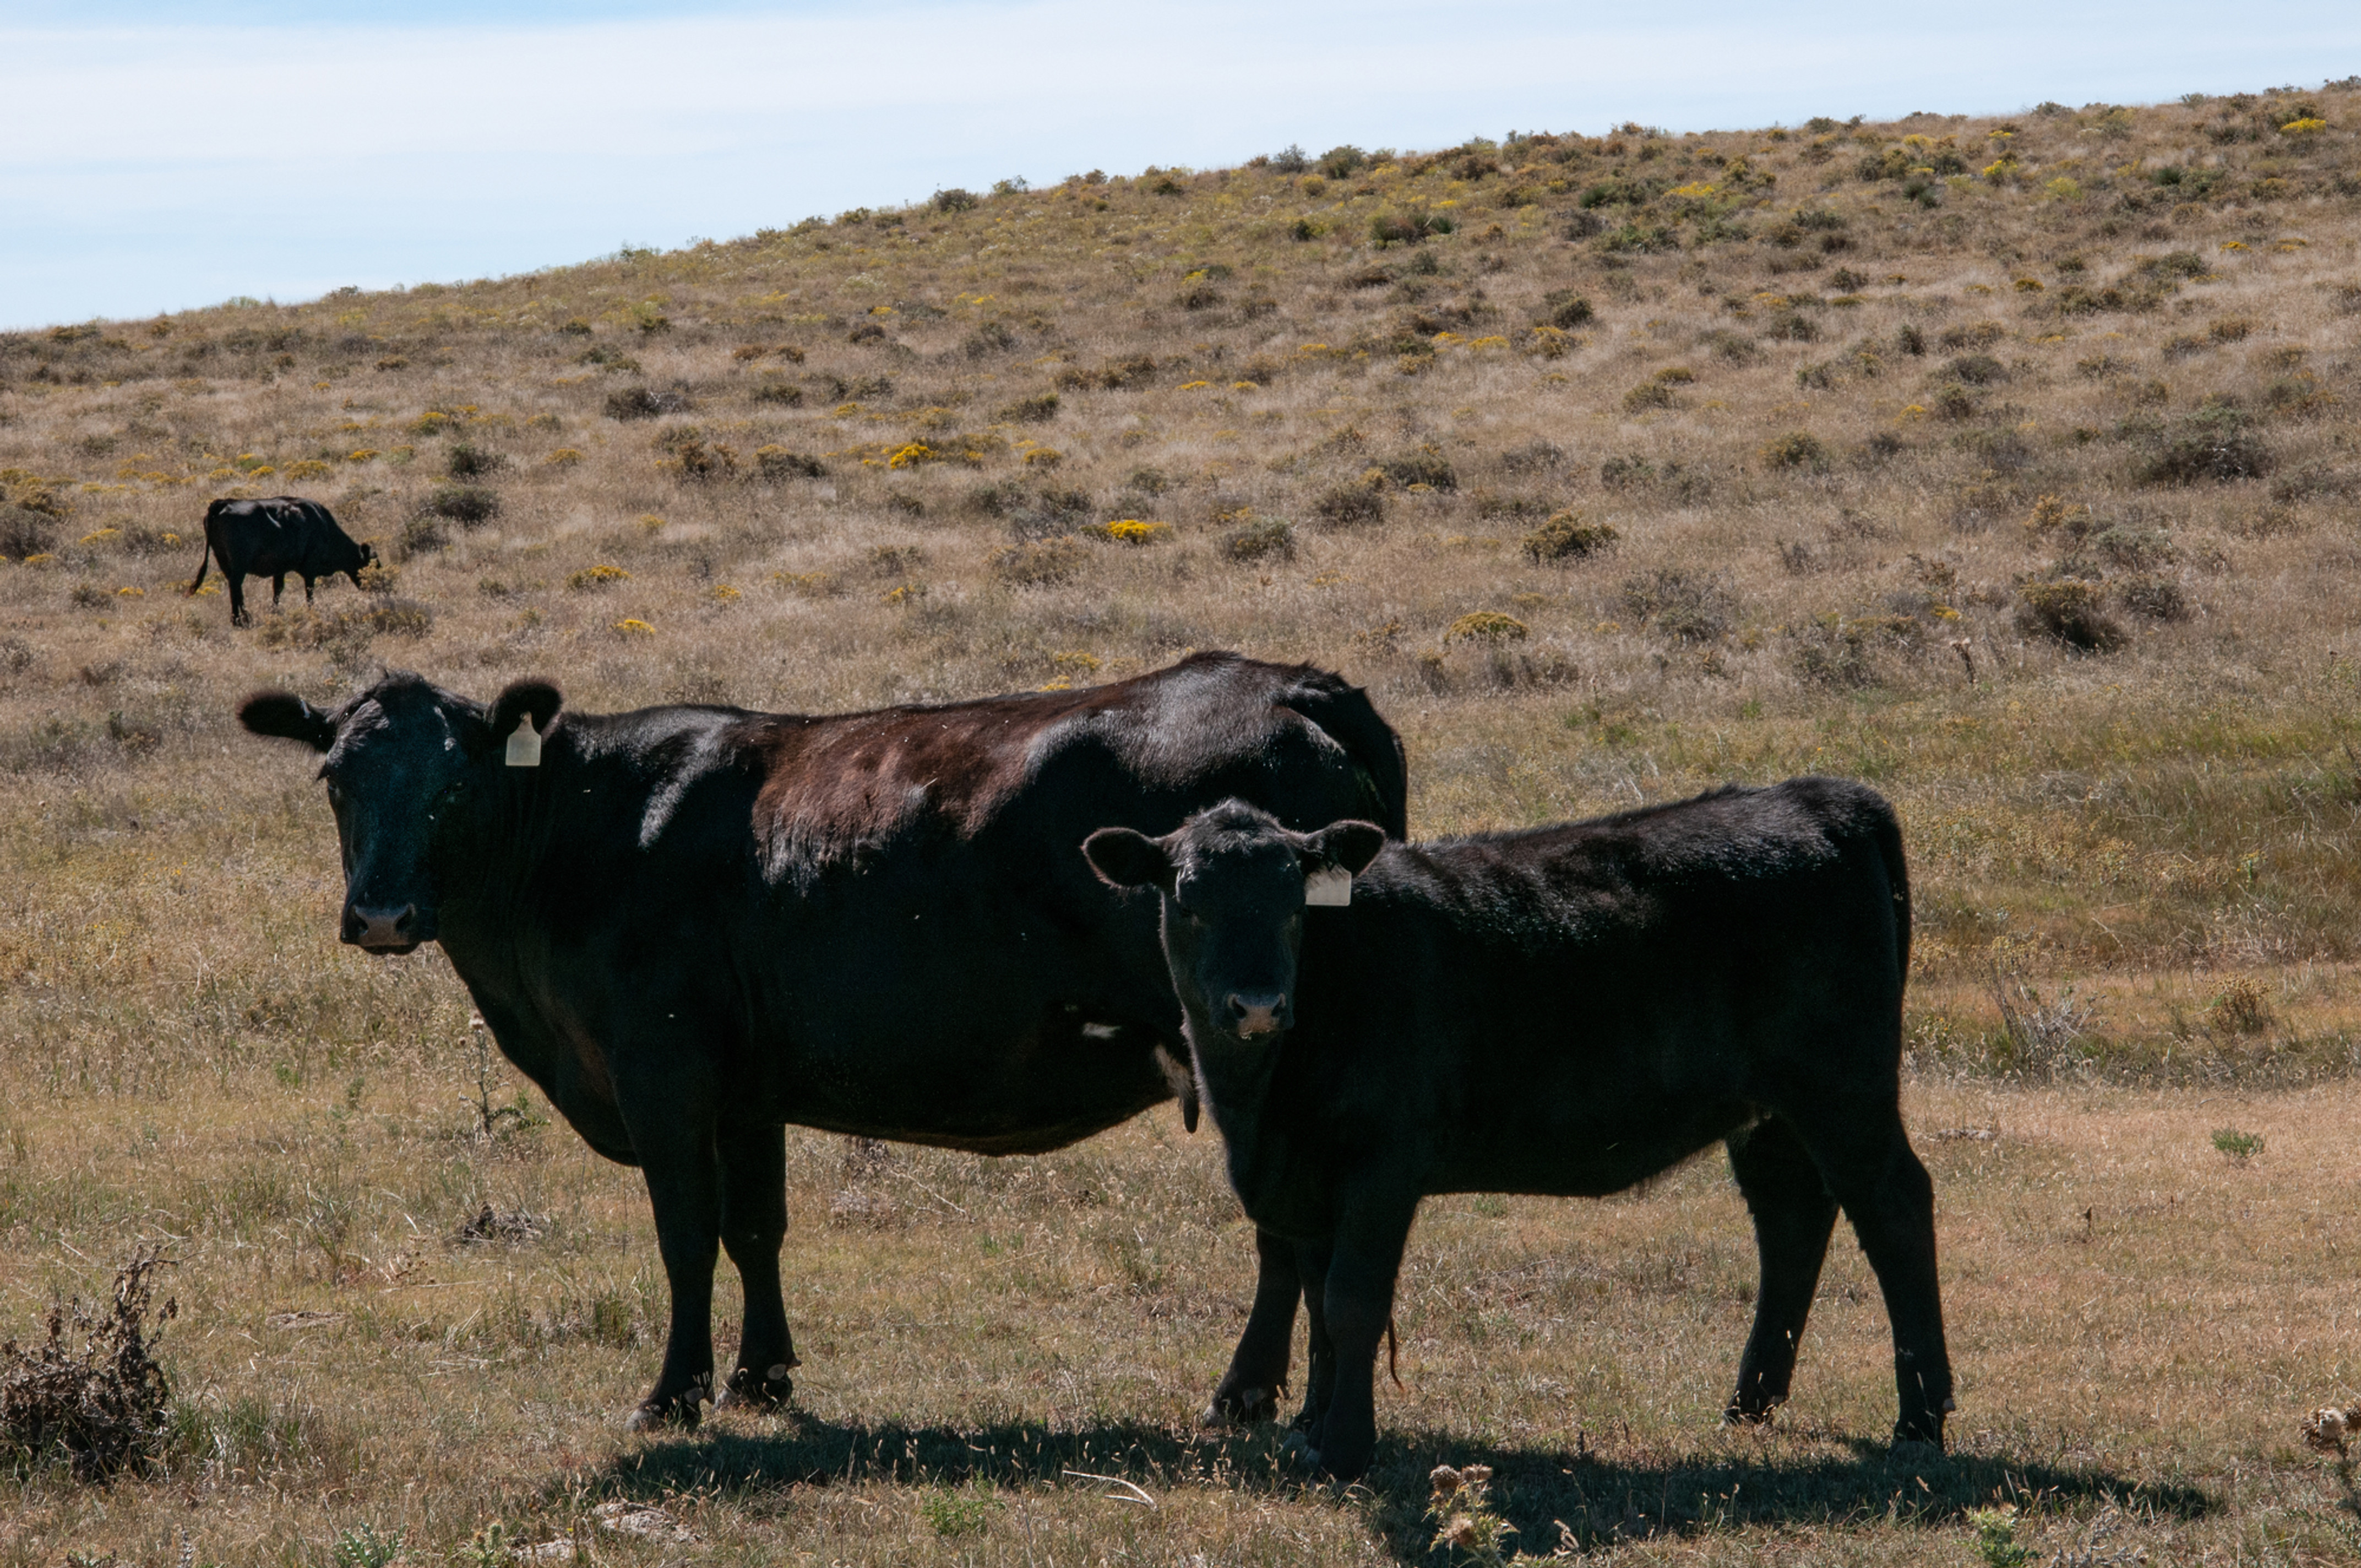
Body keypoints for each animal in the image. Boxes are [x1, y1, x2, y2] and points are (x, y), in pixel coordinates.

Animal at [188, 496, 377, 625]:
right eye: (373, 566)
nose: (380, 587)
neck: (324, 526)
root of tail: (224, 503)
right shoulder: (310, 570)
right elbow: (309, 594)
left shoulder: (280, 570)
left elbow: (277, 590)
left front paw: (274, 613)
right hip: (239, 566)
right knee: (236, 588)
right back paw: (240, 621)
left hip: (225, 563)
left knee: (236, 590)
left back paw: (244, 619)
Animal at [237, 653, 1407, 1430]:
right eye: (335, 777)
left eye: (454, 781)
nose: (381, 912)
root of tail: (1292, 682)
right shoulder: (746, 1089)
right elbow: (756, 1228)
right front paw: (761, 1375)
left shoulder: (662, 1074)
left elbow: (684, 1234)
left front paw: (672, 1393)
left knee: (1285, 1235)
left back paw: (1245, 1394)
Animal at [1081, 779, 1953, 1482]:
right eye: (1188, 899)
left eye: (1295, 904)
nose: (1258, 1004)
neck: (1259, 1104)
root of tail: (1821, 796)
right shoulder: (1306, 1174)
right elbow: (1318, 1303)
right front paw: (1311, 1430)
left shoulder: (1382, 1163)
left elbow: (1353, 1300)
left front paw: (1346, 1449)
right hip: (1769, 1111)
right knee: (1791, 1220)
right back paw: (1751, 1401)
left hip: (1843, 1087)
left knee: (1895, 1208)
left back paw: (1920, 1419)